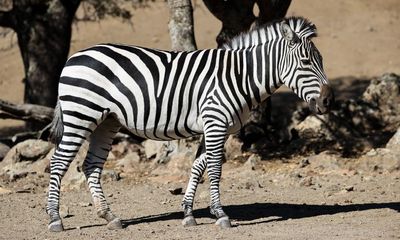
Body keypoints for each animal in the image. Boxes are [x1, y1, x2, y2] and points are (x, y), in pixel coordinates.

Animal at [46, 15, 334, 232]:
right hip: (80, 114)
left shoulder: (216, 127)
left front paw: (188, 214)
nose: (328, 100)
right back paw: (55, 219)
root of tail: (75, 56)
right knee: (59, 162)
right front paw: (220, 214)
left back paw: (110, 217)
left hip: (107, 121)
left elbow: (197, 167)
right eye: (306, 62)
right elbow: (215, 170)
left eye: (321, 61)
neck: (240, 76)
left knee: (91, 166)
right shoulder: (216, 123)